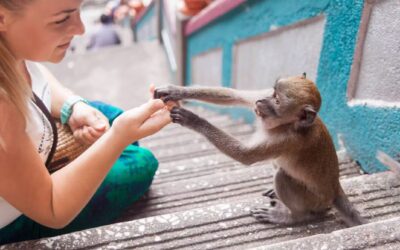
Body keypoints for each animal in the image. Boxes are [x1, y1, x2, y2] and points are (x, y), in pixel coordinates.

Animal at [155, 74, 368, 227]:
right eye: (272, 93)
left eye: (277, 101)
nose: (261, 101)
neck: (286, 125)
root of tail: (334, 189)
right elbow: (235, 95)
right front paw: (174, 91)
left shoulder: (286, 140)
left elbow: (244, 155)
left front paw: (193, 119)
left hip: (315, 200)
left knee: (282, 176)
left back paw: (294, 217)